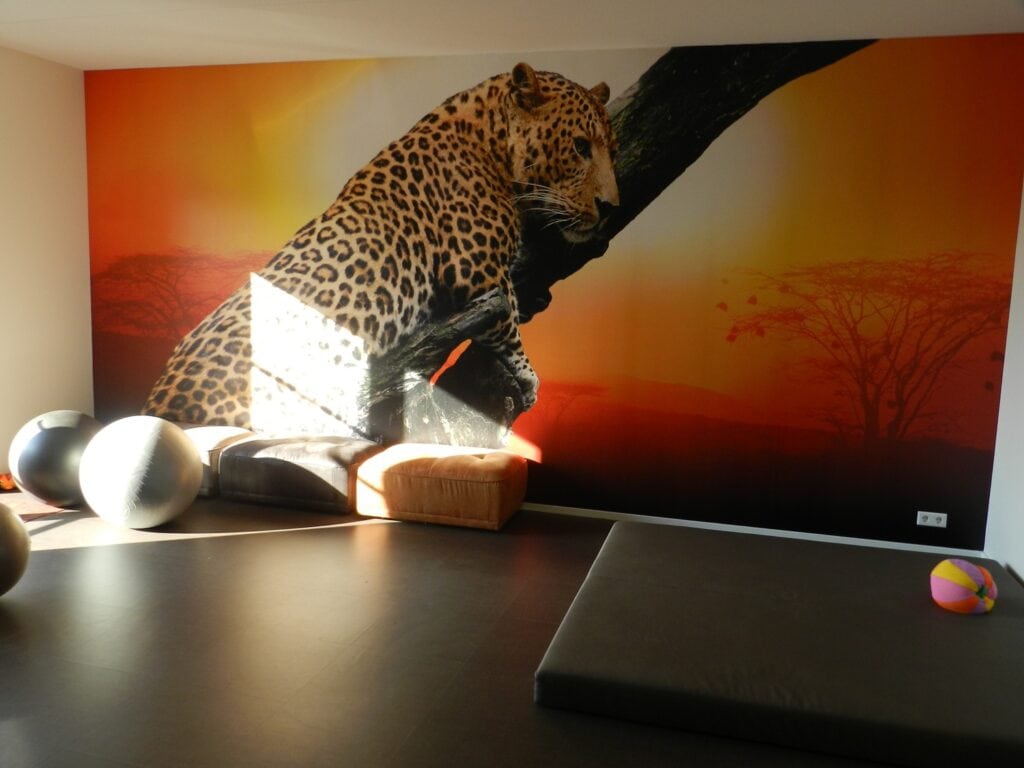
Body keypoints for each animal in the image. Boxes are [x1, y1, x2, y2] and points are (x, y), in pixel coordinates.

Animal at [142, 62, 618, 435]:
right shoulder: (474, 269)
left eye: (611, 151)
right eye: (580, 146)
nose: (612, 206)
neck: (491, 142)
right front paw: (528, 374)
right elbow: (506, 323)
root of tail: (156, 406)